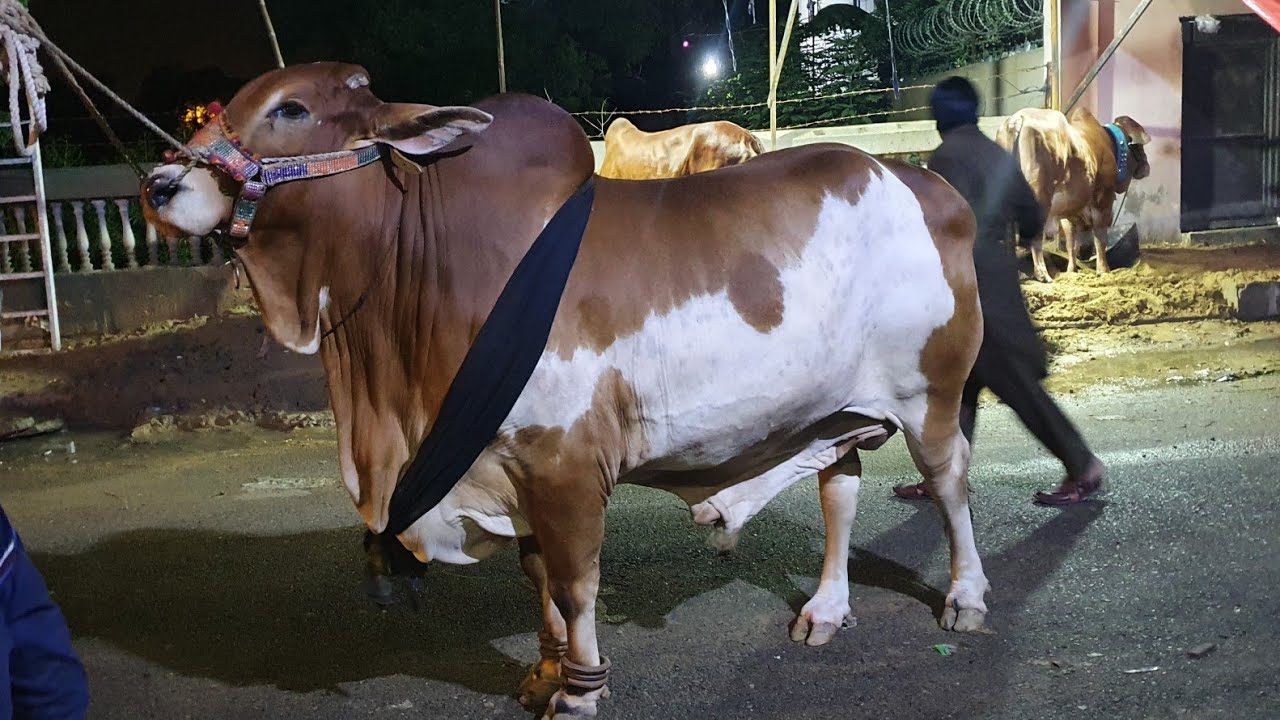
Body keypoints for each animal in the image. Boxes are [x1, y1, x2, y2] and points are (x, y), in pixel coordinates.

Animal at [995, 107, 1151, 282]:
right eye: (1139, 147)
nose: (1146, 166)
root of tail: (1017, 120)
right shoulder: (1103, 199)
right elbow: (1100, 238)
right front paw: (1104, 270)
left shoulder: (1068, 211)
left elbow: (1071, 241)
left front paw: (1071, 270)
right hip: (1039, 198)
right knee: (1033, 237)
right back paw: (1043, 274)